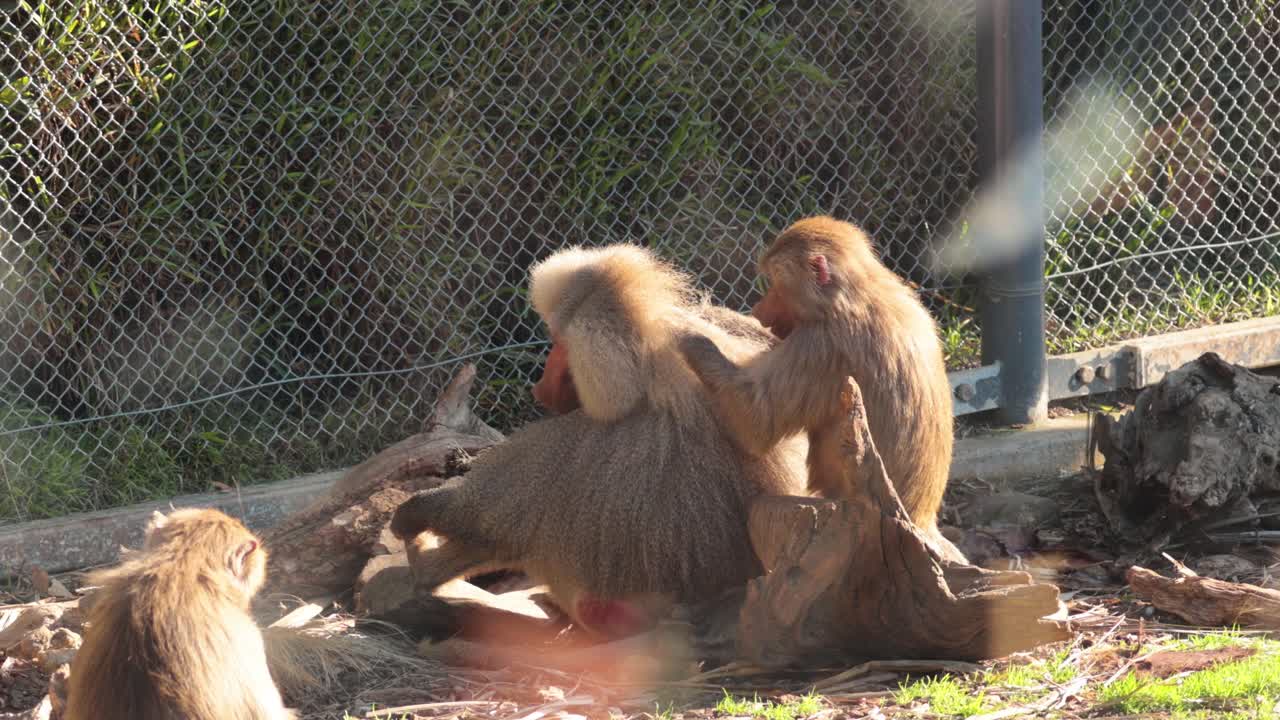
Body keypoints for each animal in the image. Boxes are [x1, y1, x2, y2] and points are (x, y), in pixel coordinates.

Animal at [391, 244, 809, 639]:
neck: (653, 367)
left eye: (559, 343)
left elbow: (481, 520)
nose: (539, 383)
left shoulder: (568, 442)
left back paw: (425, 566)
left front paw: (411, 515)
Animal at [676, 216, 955, 535]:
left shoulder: (821, 347)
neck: (857, 293)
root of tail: (919, 517)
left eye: (775, 283)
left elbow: (755, 424)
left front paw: (693, 335)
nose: (759, 310)